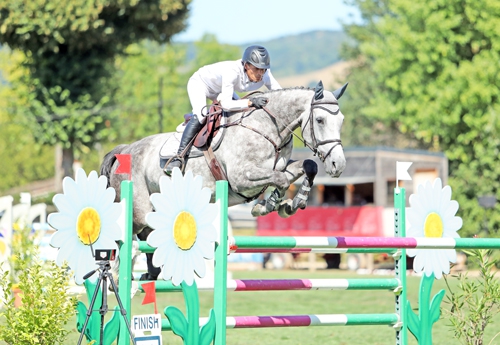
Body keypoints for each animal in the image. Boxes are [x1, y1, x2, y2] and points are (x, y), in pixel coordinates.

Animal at [99, 80, 346, 280]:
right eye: (320, 120)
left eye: (341, 121)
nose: (338, 165)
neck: (267, 128)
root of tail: (124, 150)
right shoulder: (241, 178)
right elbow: (281, 180)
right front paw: (269, 206)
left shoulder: (280, 166)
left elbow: (306, 167)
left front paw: (291, 203)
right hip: (139, 210)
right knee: (128, 237)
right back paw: (117, 279)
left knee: (147, 238)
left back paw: (149, 275)